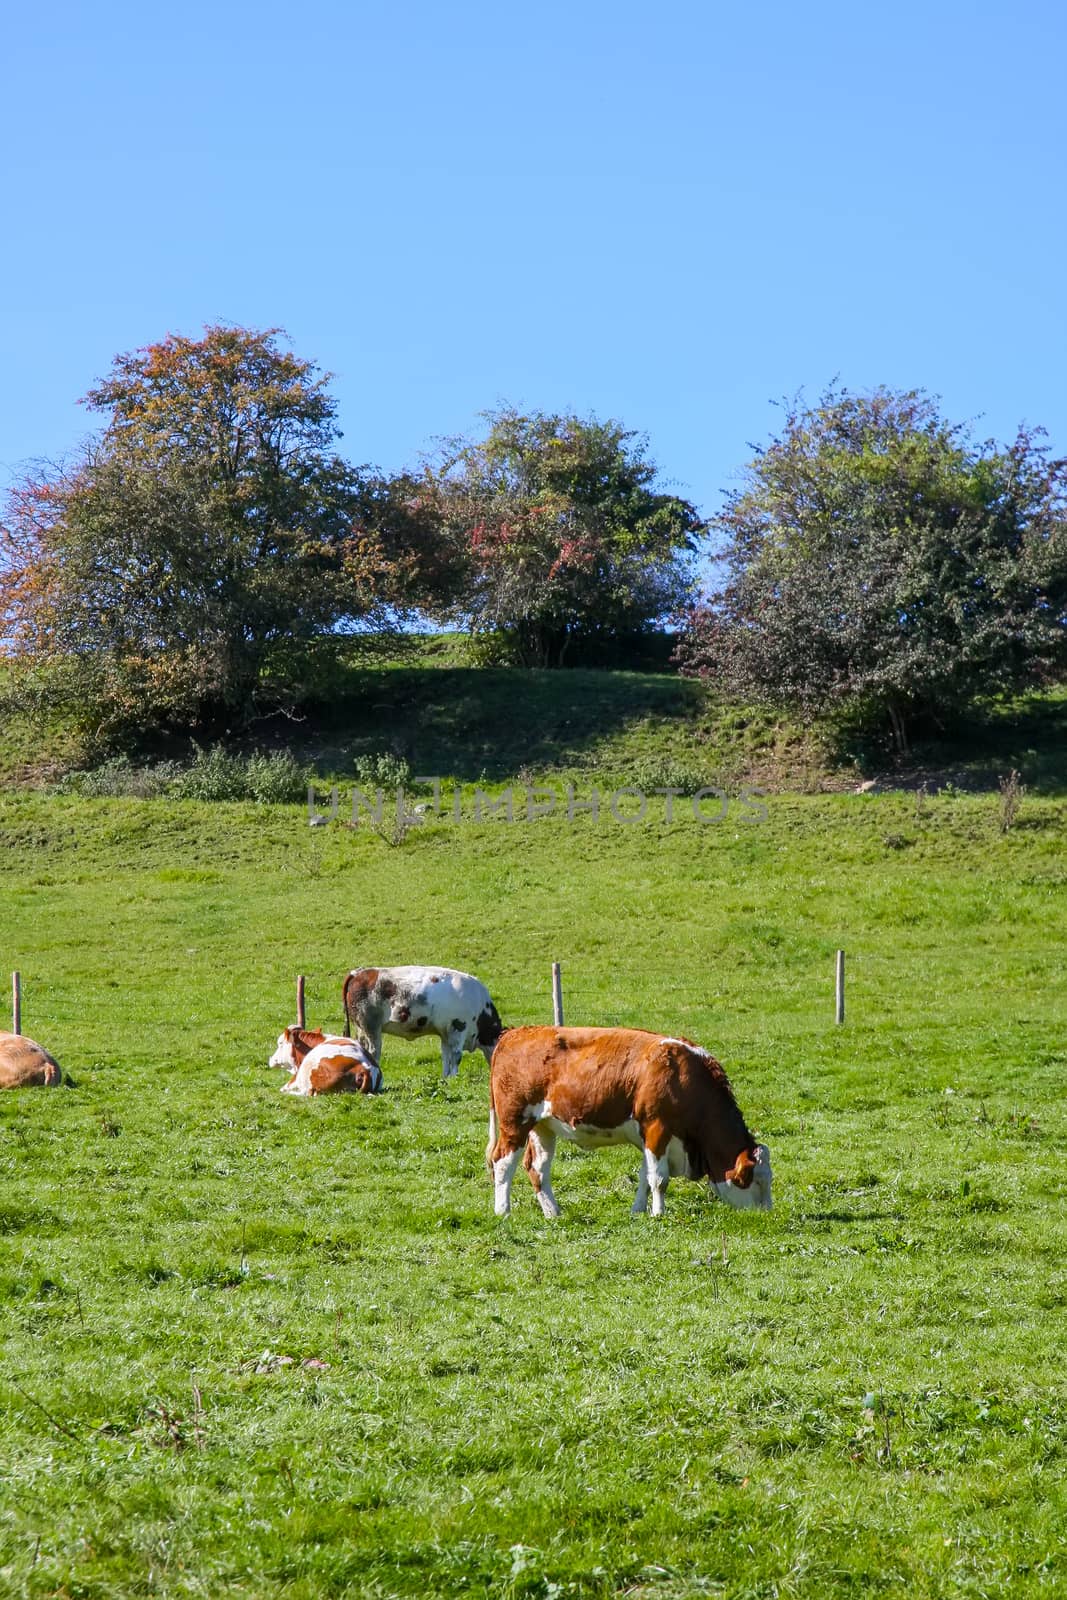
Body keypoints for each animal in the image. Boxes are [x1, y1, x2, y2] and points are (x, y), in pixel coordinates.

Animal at [343, 966, 508, 1081]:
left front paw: (446, 1077)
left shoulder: (446, 1033)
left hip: (361, 1029)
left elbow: (446, 1056)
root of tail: (360, 972)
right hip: (372, 1028)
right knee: (373, 1052)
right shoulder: (459, 1027)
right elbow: (456, 1056)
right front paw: (455, 1078)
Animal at [489, 1030, 771, 1216]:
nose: (767, 1214)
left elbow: (645, 1176)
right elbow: (659, 1179)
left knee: (537, 1167)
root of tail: (515, 1033)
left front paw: (638, 1211)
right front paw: (658, 1214)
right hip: (514, 1122)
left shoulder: (648, 1137)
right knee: (502, 1162)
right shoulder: (658, 1130)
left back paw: (553, 1213)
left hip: (543, 1126)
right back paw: (503, 1211)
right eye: (753, 1180)